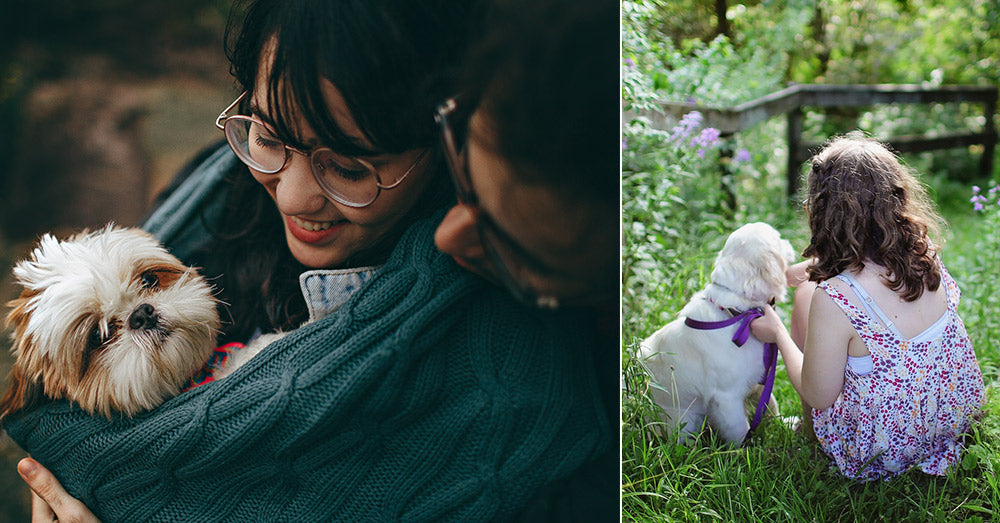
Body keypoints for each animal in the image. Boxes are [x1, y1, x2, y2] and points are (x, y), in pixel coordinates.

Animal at [640, 223, 796, 444]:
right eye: (778, 238)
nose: (789, 242)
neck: (737, 313)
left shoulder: (759, 380)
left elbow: (770, 404)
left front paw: (785, 424)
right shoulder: (727, 397)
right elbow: (740, 430)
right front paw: (746, 449)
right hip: (685, 421)